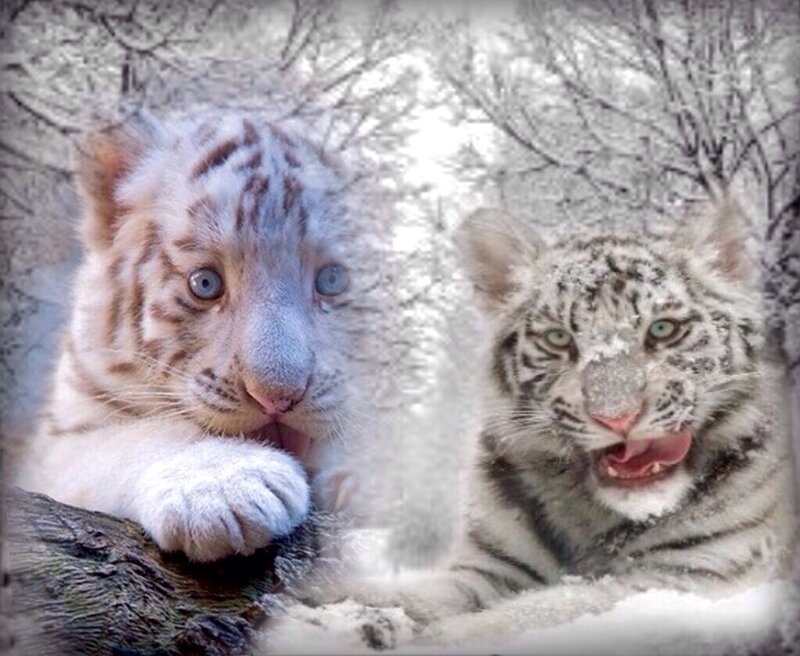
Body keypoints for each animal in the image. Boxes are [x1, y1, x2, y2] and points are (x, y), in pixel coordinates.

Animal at [13, 109, 376, 562]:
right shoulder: (54, 447)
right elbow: (140, 435)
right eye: (205, 283)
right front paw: (222, 485)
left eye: (332, 280)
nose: (278, 398)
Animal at [264, 200, 797, 651]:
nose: (616, 415)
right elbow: (423, 593)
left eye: (663, 329)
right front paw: (334, 601)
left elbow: (537, 611)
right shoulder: (492, 566)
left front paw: (412, 636)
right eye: (558, 338)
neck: (594, 515)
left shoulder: (685, 574)